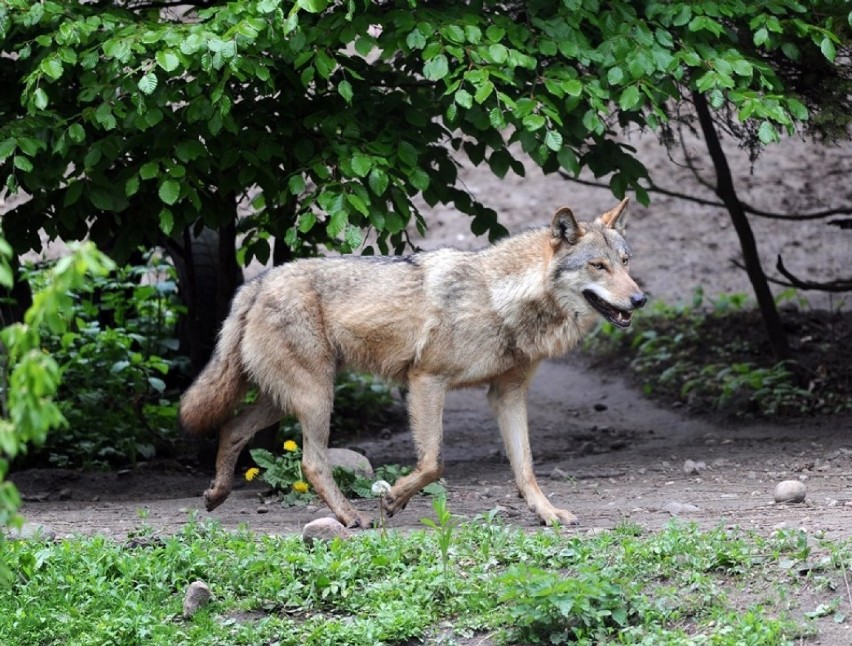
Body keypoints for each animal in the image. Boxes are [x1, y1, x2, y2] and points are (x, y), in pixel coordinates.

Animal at [180, 200, 644, 528]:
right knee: (310, 462)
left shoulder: (508, 395)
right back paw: (350, 517)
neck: (499, 299)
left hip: (286, 399)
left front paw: (547, 514)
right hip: (315, 398)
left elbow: (525, 468)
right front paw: (393, 499)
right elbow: (433, 462)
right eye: (597, 266)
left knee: (232, 429)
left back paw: (216, 494)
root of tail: (257, 283)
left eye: (625, 263)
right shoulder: (426, 381)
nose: (639, 299)